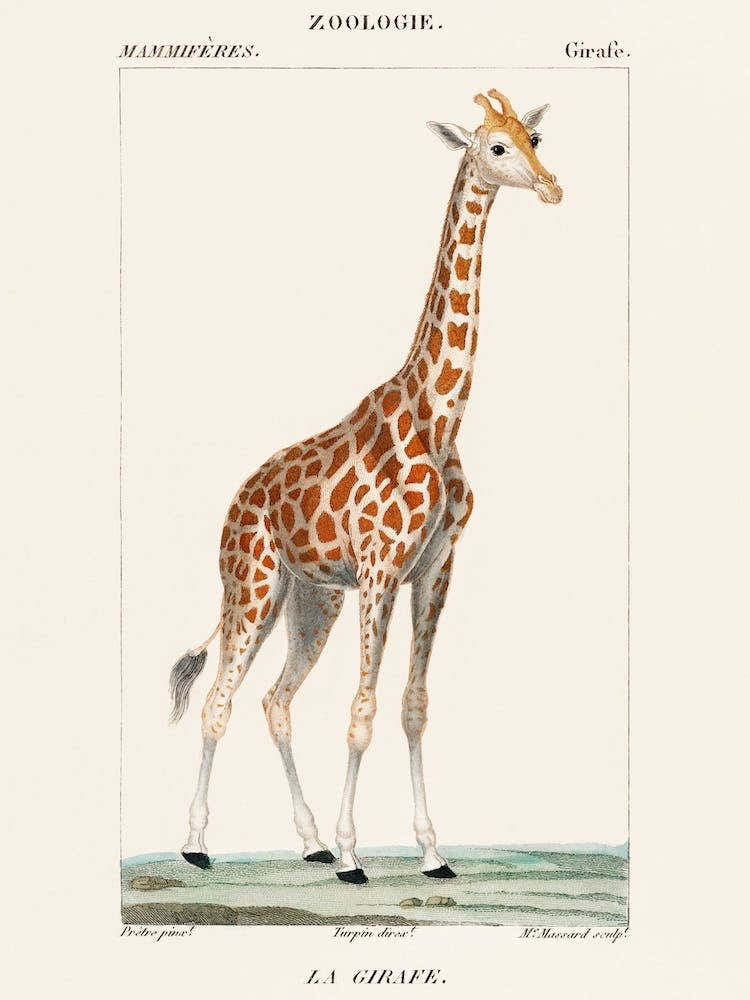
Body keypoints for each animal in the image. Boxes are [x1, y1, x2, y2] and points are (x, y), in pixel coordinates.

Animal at [168, 89, 563, 883]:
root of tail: (233, 505)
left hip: (308, 599)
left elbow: (412, 705)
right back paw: (198, 843)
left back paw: (310, 840)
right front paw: (356, 853)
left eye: (533, 138)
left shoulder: (434, 568)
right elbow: (362, 712)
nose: (551, 186)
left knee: (274, 701)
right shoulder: (380, 569)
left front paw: (432, 851)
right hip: (250, 587)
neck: (440, 416)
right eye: (494, 147)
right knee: (219, 700)